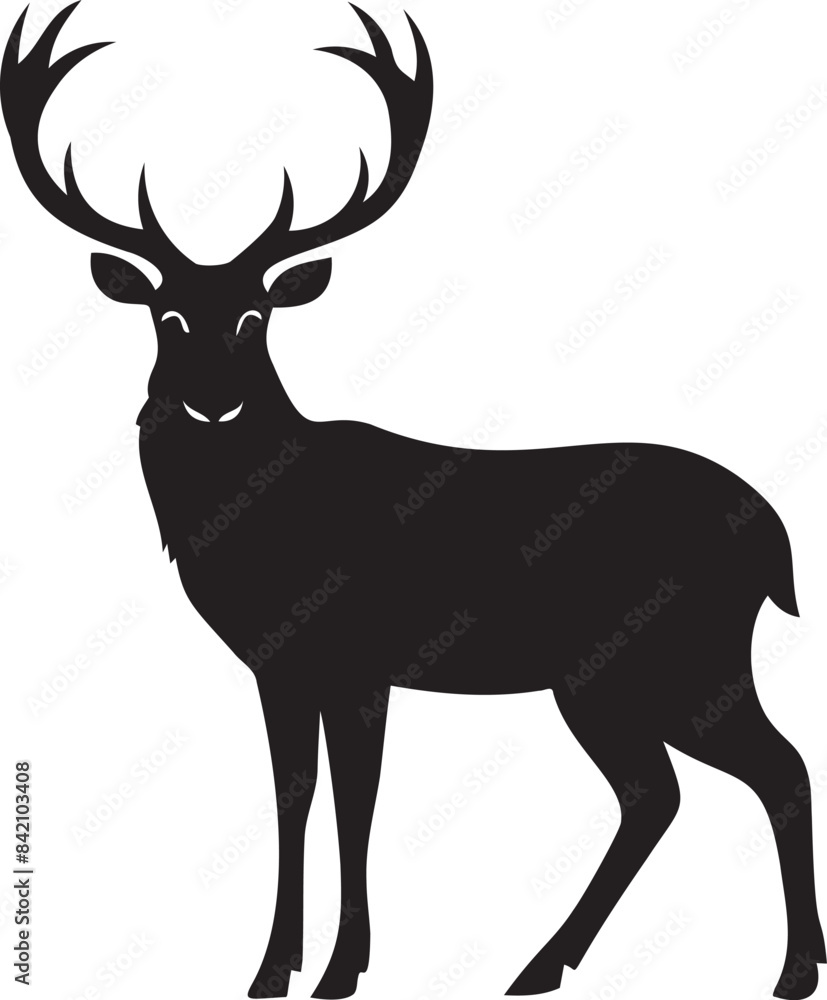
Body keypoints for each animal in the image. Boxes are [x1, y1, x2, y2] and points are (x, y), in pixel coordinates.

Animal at [2, 3, 824, 998]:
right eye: (167, 315)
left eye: (255, 318)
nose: (212, 401)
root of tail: (777, 539)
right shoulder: (280, 665)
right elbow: (293, 798)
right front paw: (271, 970)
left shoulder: (358, 658)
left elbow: (355, 804)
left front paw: (338, 971)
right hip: (609, 676)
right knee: (657, 791)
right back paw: (546, 965)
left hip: (679, 655)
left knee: (772, 767)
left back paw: (788, 970)